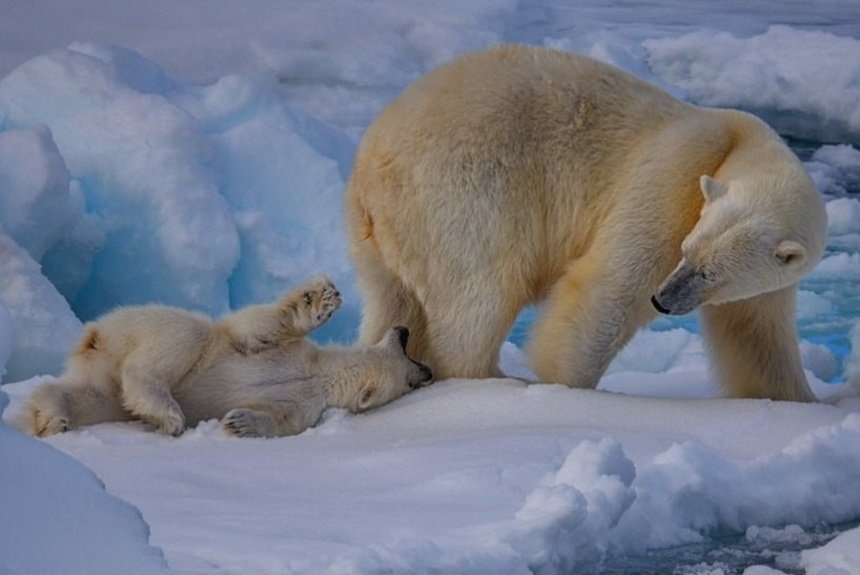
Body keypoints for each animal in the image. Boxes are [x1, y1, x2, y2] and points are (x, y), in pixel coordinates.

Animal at [346, 44, 828, 400]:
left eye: (712, 273)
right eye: (687, 250)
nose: (664, 300)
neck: (740, 142)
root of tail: (372, 165)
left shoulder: (767, 282)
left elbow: (755, 335)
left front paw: (801, 401)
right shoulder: (674, 172)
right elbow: (611, 286)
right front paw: (569, 389)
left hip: (381, 235)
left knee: (393, 297)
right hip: (465, 190)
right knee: (479, 290)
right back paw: (496, 380)